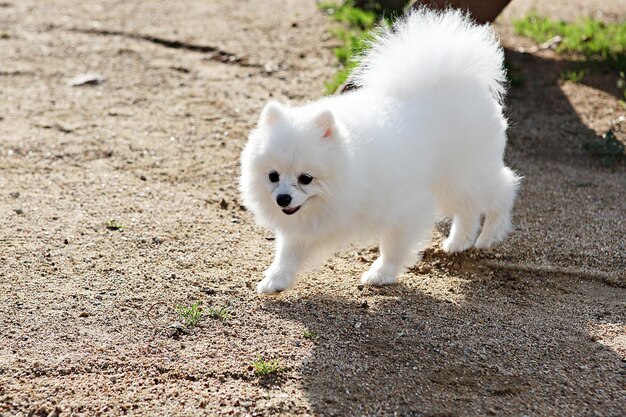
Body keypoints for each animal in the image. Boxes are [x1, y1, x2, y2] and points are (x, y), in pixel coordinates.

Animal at [238, 8, 516, 292]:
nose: (282, 199)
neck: (352, 170)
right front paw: (276, 280)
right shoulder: (307, 222)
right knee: (468, 209)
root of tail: (460, 77)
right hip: (452, 183)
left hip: (464, 176)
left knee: (504, 189)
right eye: (273, 176)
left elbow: (393, 248)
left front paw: (381, 274)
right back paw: (458, 242)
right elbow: (289, 251)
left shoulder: (404, 209)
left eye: (306, 178)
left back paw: (490, 235)